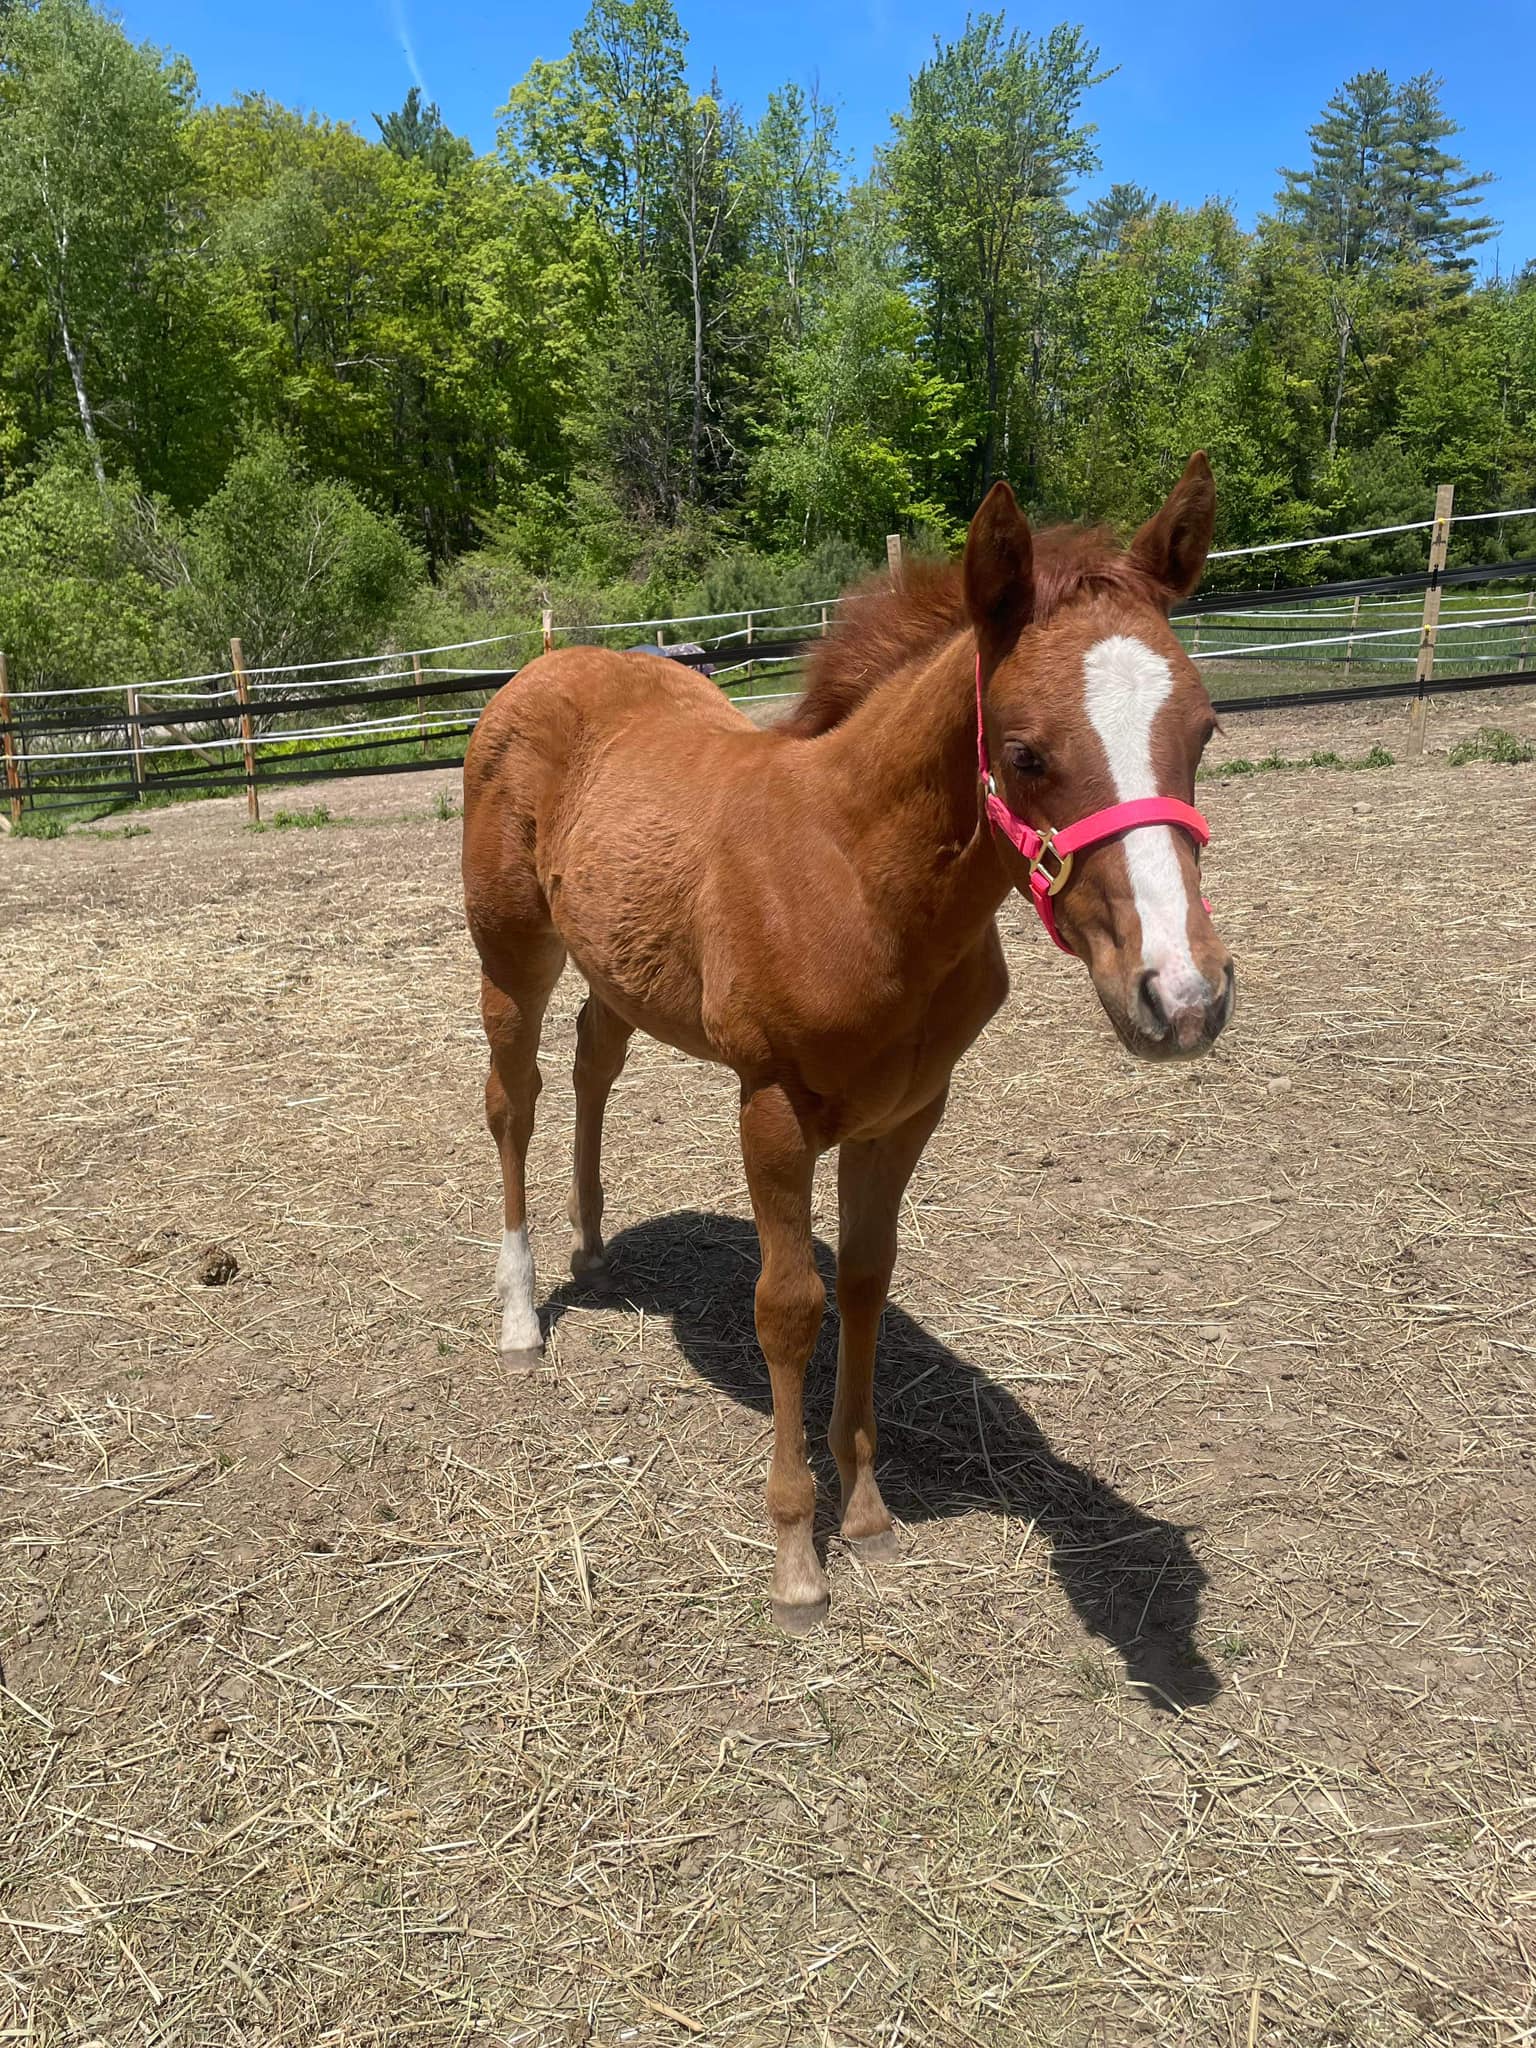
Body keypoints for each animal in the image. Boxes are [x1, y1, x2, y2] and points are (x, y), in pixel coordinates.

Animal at [461, 454, 1234, 1632]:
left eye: (1204, 731)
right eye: (1025, 753)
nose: (1183, 996)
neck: (856, 873)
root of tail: (541, 668)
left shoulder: (908, 1111)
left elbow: (867, 1278)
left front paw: (866, 1505)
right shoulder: (772, 1105)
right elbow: (791, 1307)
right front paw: (796, 1554)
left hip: (616, 958)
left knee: (597, 1059)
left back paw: (593, 1244)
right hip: (512, 952)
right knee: (517, 1096)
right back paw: (521, 1313)